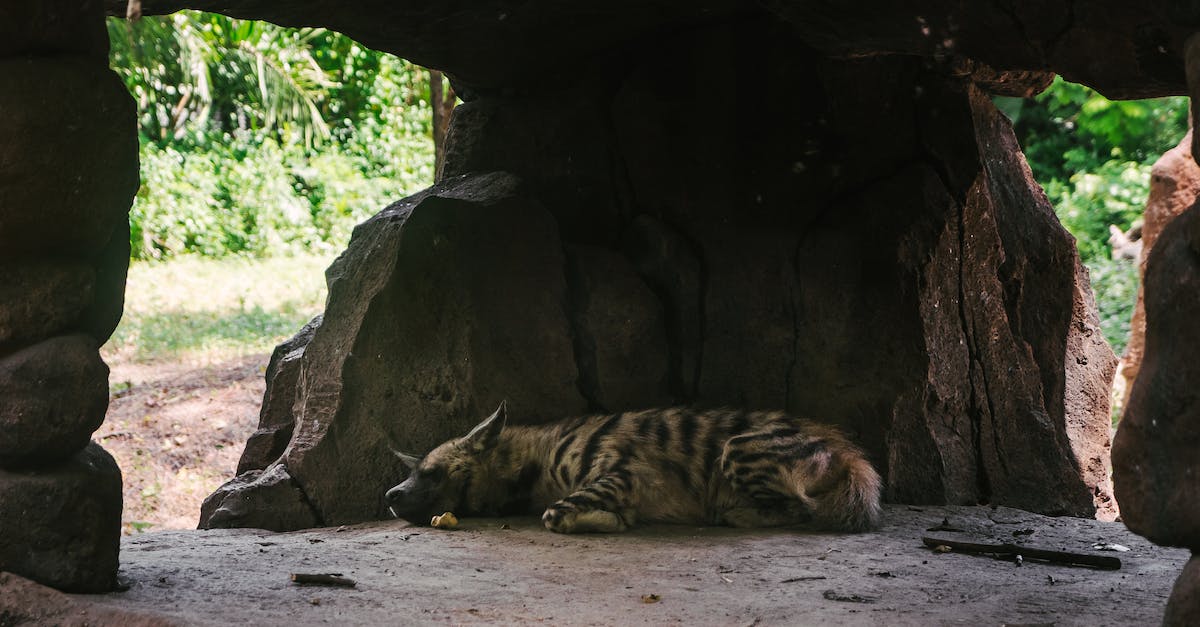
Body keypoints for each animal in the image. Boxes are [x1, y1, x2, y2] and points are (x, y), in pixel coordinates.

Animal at [385, 402, 882, 533]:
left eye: (430, 472)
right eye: (411, 472)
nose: (390, 495)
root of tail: (848, 452)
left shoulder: (626, 470)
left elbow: (557, 512)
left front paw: (605, 520)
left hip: (739, 446)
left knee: (802, 509)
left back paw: (734, 513)